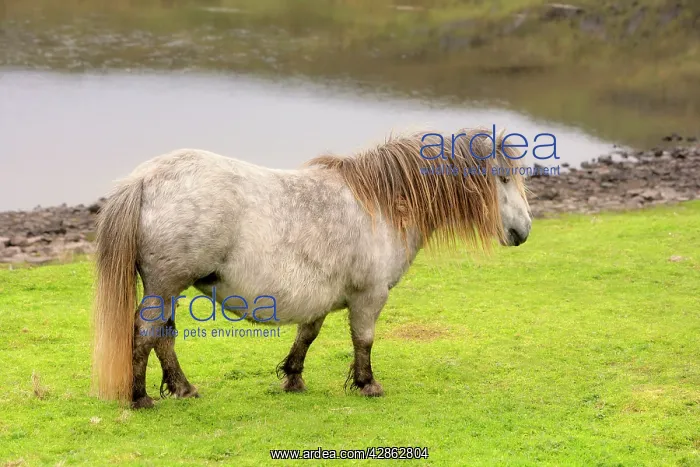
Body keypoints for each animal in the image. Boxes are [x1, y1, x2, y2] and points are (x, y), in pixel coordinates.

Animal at [91, 127, 532, 409]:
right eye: (503, 178)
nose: (524, 230)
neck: (381, 205)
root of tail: (145, 179)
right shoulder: (370, 295)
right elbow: (364, 340)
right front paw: (367, 384)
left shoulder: (318, 295)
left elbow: (307, 335)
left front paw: (293, 377)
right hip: (165, 285)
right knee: (148, 334)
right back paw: (141, 398)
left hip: (167, 288)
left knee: (163, 337)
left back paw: (183, 390)